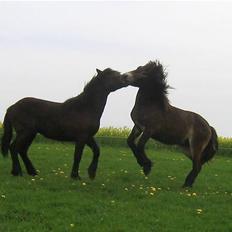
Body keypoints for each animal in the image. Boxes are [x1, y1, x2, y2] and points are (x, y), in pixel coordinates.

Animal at [0, 67, 134, 179]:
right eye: (113, 75)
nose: (126, 78)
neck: (85, 108)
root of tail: (12, 107)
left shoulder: (88, 137)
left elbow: (97, 151)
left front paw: (91, 173)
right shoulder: (81, 137)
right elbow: (78, 156)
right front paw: (75, 176)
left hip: (31, 134)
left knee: (22, 150)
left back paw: (32, 172)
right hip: (25, 132)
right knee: (14, 148)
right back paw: (17, 172)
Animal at [124, 60, 218, 188]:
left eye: (144, 72)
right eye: (139, 68)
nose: (125, 76)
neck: (150, 106)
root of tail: (209, 127)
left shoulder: (149, 130)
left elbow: (140, 145)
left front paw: (147, 166)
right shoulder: (138, 127)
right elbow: (130, 142)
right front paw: (143, 164)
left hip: (195, 147)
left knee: (197, 166)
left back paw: (186, 186)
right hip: (186, 149)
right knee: (198, 165)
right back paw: (188, 184)